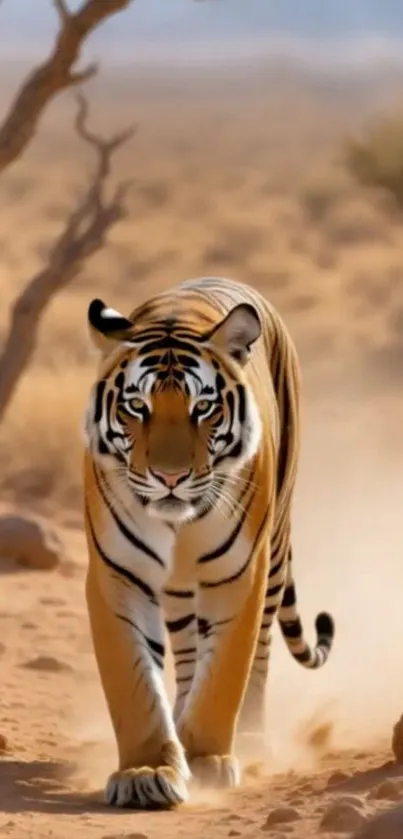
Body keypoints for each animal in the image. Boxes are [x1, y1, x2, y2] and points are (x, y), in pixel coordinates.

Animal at [83, 275, 334, 810]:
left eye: (203, 408)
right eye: (137, 406)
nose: (170, 477)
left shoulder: (239, 573)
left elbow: (226, 672)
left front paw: (205, 762)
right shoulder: (118, 575)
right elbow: (133, 682)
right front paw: (146, 771)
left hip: (273, 553)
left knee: (259, 653)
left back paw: (252, 738)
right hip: (180, 589)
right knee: (185, 653)